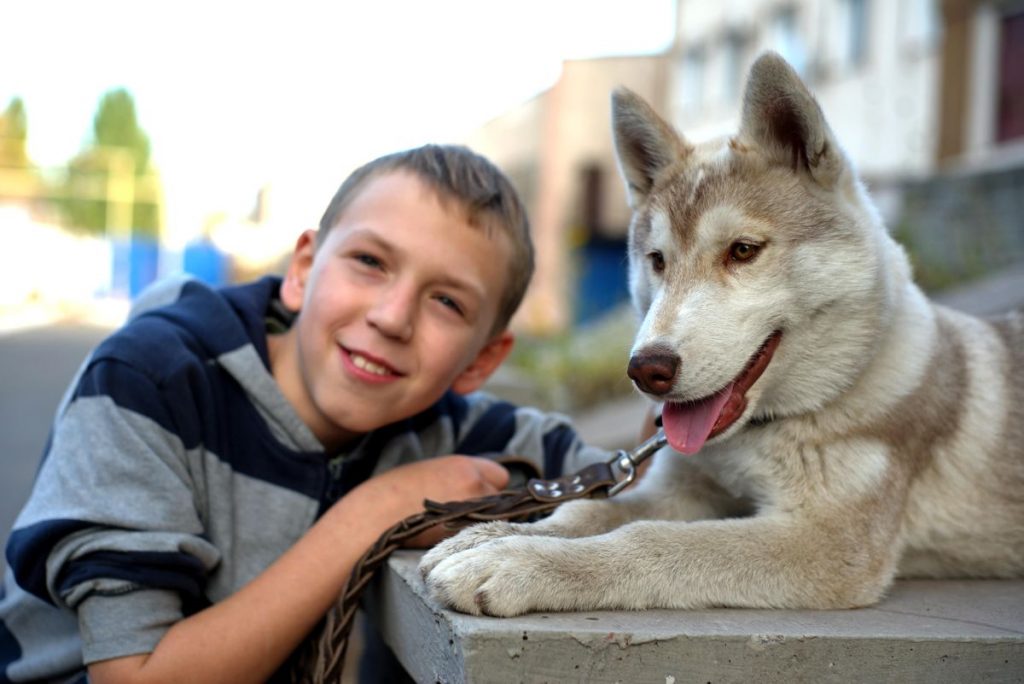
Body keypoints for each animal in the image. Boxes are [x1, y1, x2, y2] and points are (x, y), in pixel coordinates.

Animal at [417, 50, 1024, 610]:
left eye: (743, 251)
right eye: (657, 261)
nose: (647, 370)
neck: (769, 431)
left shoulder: (828, 541)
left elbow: (650, 540)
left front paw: (517, 561)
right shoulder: (682, 490)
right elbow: (587, 507)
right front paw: (494, 534)